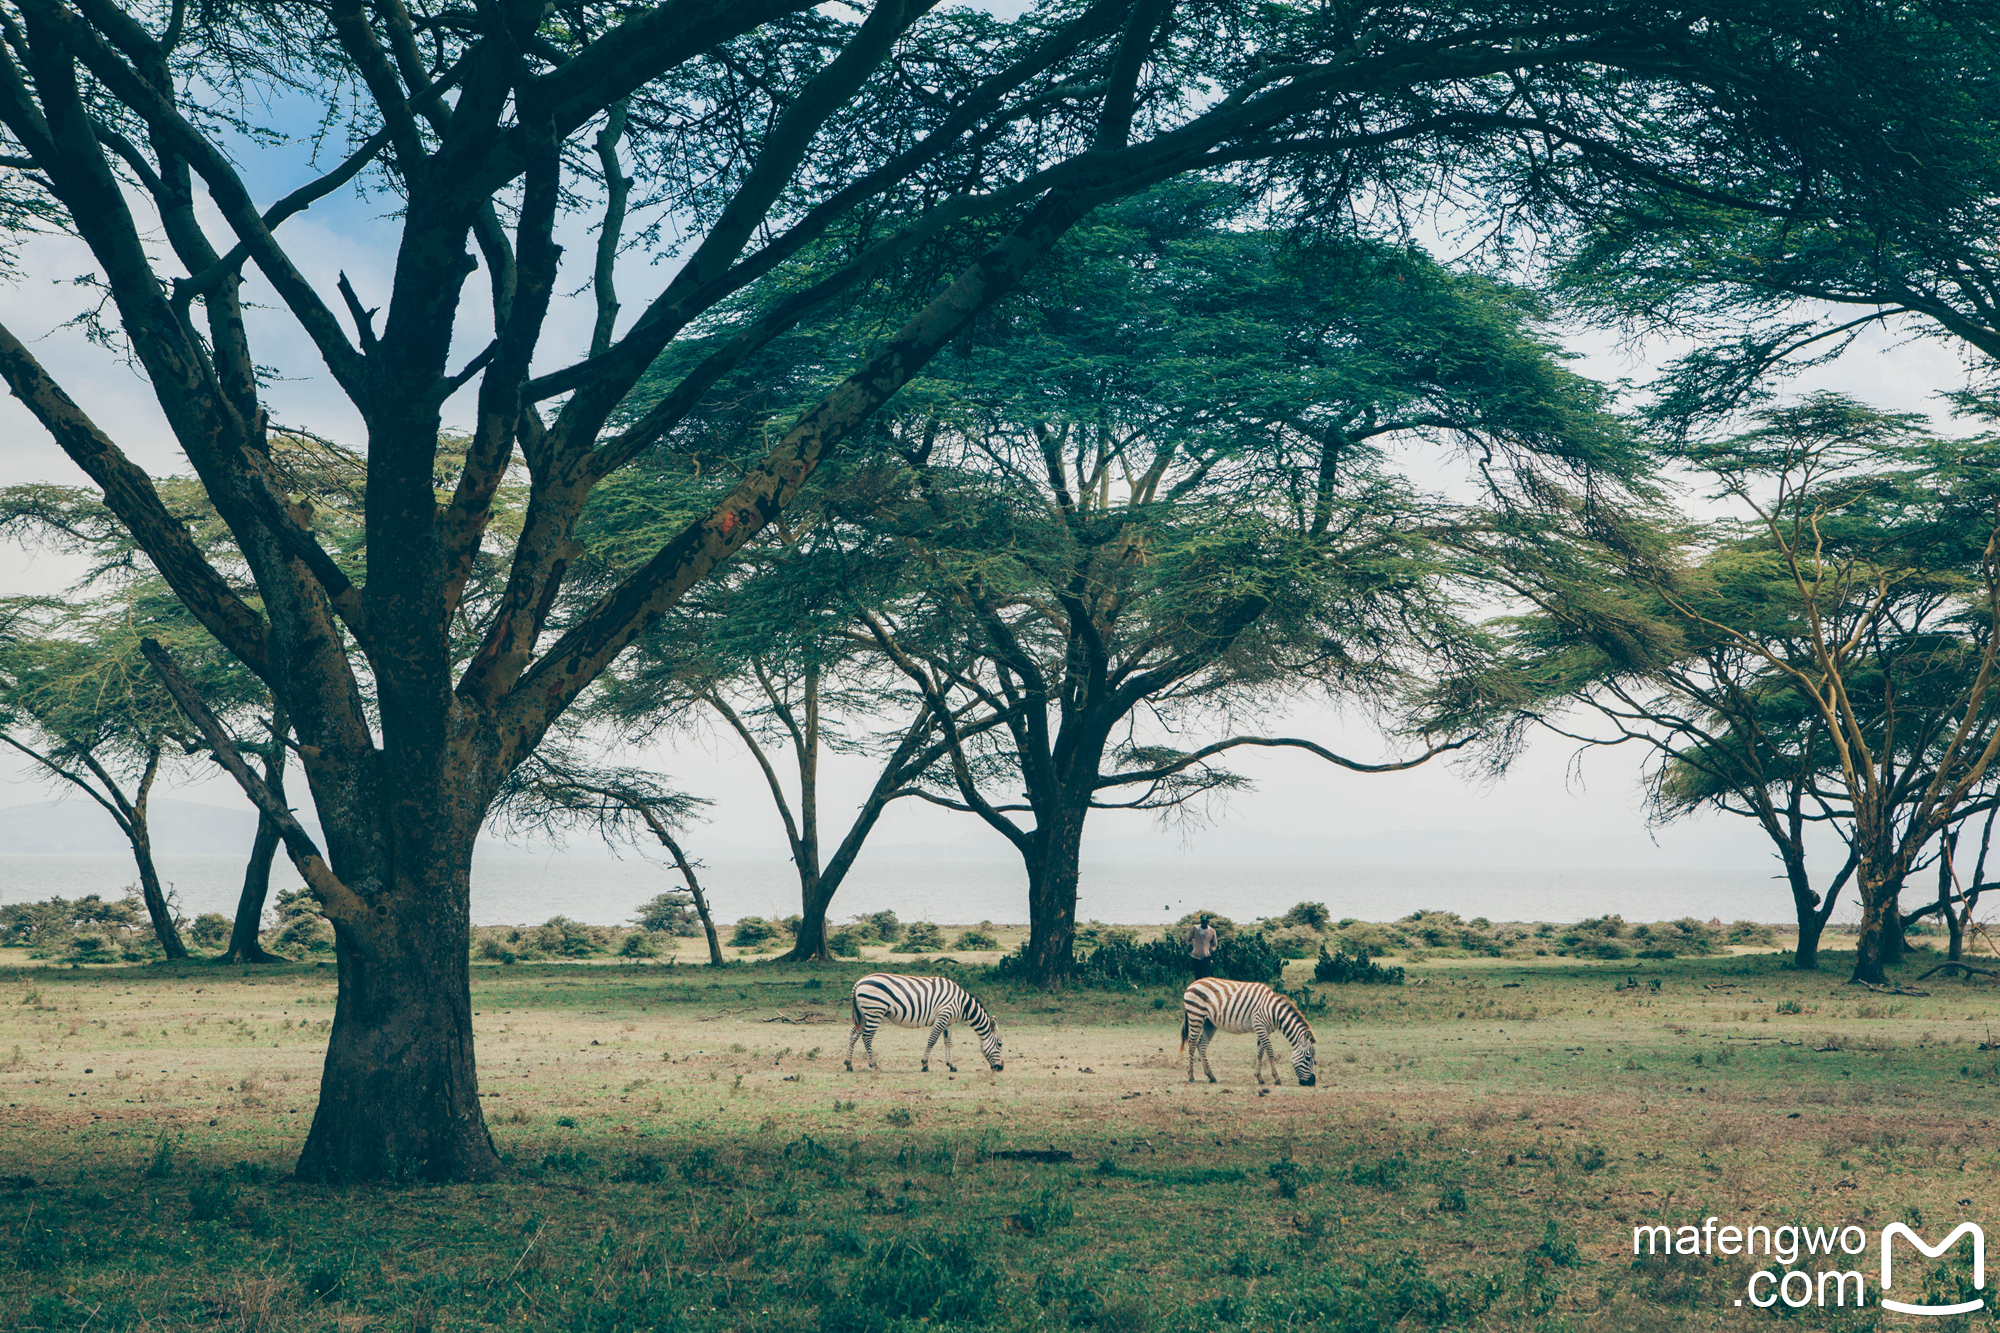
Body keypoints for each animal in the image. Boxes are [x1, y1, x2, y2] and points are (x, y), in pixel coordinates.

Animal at [840, 964, 1000, 1072]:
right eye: (1000, 1044)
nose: (1001, 1068)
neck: (961, 1004)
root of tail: (858, 982)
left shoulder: (948, 1021)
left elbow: (948, 1042)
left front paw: (951, 1065)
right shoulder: (943, 1016)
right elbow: (932, 1040)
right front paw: (925, 1064)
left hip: (864, 1014)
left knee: (854, 1033)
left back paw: (849, 1064)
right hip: (875, 1011)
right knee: (867, 1036)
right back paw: (874, 1065)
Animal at [1176, 972, 1320, 1088]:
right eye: (1308, 1058)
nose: (1311, 1083)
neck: (1274, 1011)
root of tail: (1193, 984)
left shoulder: (1264, 1029)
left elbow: (1260, 1052)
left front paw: (1259, 1078)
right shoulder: (1259, 1025)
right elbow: (1270, 1051)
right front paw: (1277, 1078)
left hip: (1209, 1023)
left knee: (1202, 1044)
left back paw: (1211, 1076)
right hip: (1196, 1016)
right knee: (1192, 1043)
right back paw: (1191, 1076)